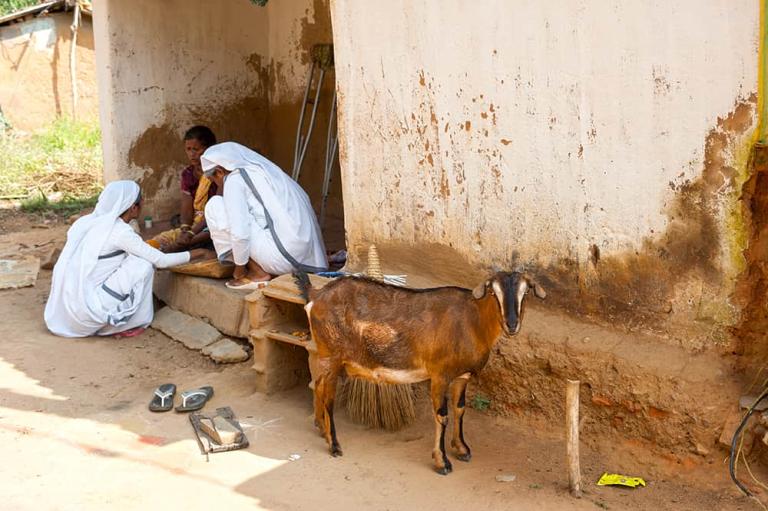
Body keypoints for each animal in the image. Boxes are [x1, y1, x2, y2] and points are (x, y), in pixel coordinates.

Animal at [294, 272, 544, 476]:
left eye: (525, 292)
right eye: (494, 292)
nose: (512, 324)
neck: (472, 320)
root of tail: (316, 295)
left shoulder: (462, 376)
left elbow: (460, 409)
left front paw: (462, 448)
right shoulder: (439, 375)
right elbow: (442, 415)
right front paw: (442, 462)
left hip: (325, 357)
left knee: (317, 384)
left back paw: (321, 428)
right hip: (332, 356)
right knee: (328, 396)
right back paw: (334, 445)